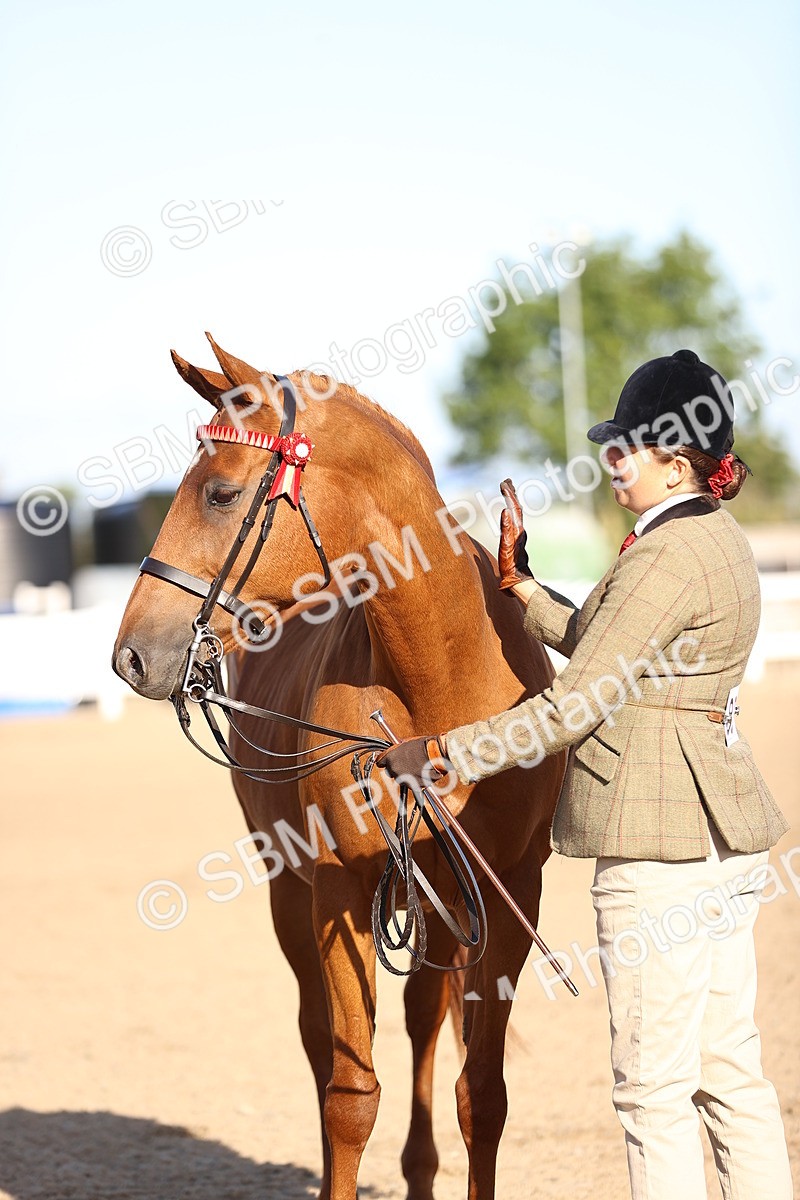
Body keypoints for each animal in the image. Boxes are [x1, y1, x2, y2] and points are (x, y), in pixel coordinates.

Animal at [113, 334, 566, 1200]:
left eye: (221, 493)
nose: (131, 655)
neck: (440, 682)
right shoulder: (339, 889)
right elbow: (350, 1095)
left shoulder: (505, 889)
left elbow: (482, 1094)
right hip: (290, 892)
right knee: (318, 1038)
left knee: (425, 1019)